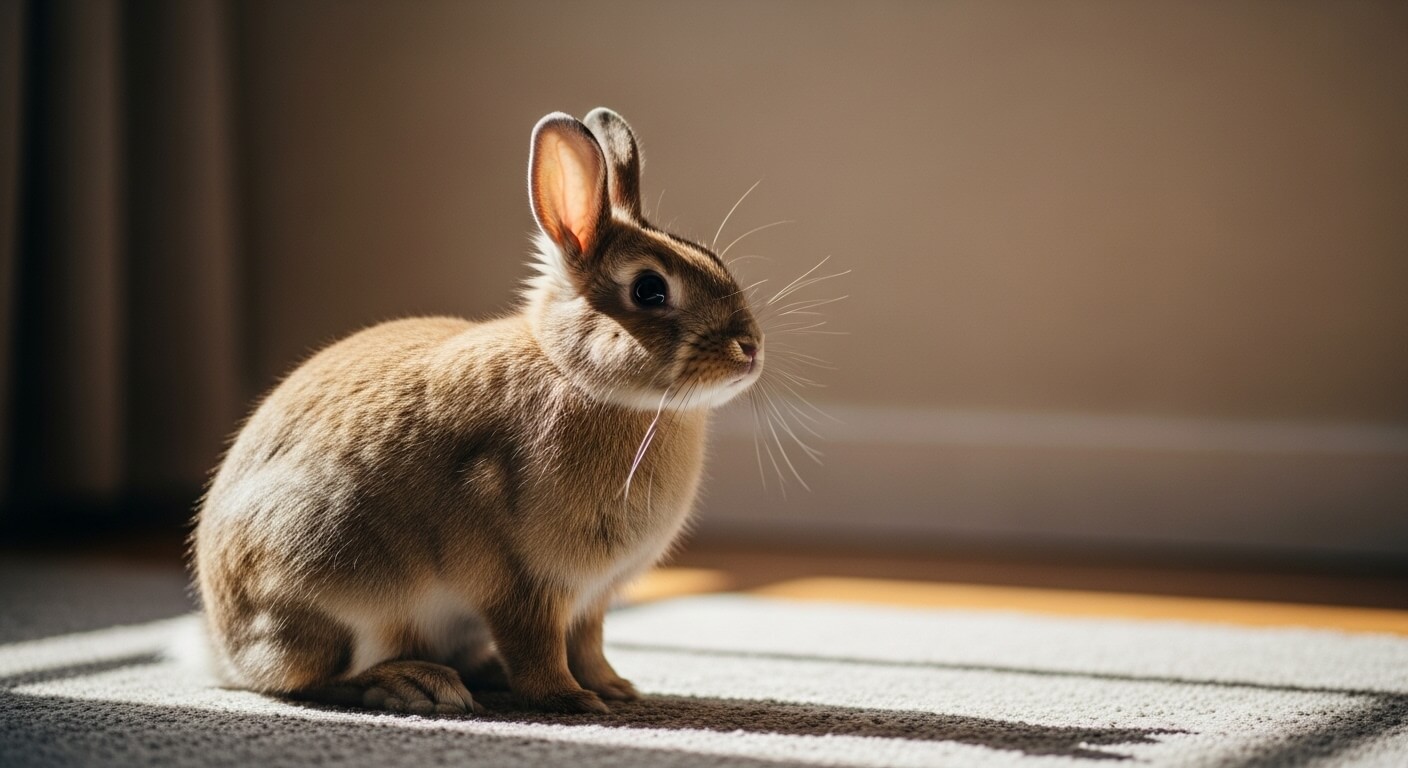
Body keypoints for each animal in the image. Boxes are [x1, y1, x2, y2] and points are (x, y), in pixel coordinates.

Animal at [191, 108, 764, 716]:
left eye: (715, 260)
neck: (575, 375)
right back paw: (417, 684)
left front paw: (614, 688)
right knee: (305, 679)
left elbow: (588, 644)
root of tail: (226, 651)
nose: (750, 349)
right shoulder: (522, 582)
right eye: (650, 290)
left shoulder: (589, 601)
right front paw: (572, 700)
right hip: (332, 583)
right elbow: (538, 648)